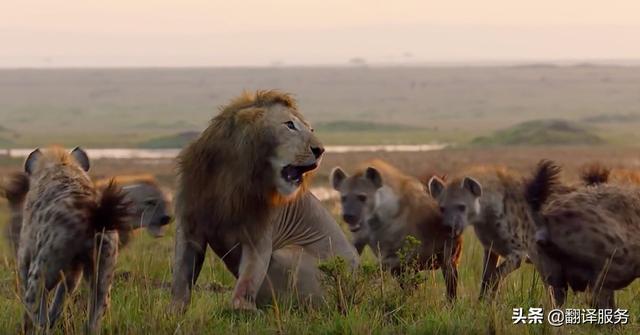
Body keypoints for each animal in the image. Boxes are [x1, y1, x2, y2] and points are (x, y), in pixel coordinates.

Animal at [170, 90, 360, 312]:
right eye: (290, 125)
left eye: (311, 129)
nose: (320, 150)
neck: (230, 177)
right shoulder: (189, 227)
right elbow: (181, 278)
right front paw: (173, 311)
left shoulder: (259, 237)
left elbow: (247, 281)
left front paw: (245, 309)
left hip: (288, 254)